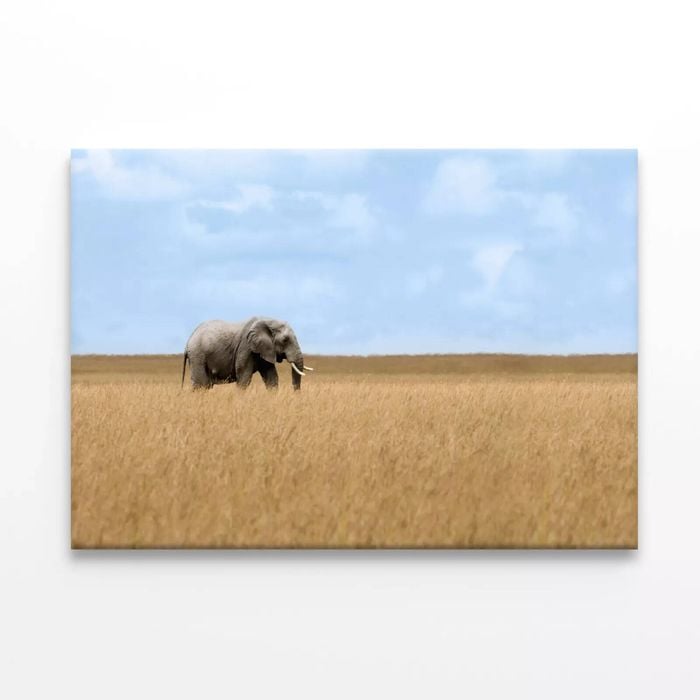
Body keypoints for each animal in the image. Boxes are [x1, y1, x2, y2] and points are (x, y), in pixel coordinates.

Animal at [181, 317, 313, 391]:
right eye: (285, 340)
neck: (268, 321)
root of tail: (188, 340)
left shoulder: (264, 349)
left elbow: (271, 377)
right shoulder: (246, 347)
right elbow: (244, 376)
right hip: (198, 355)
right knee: (201, 385)